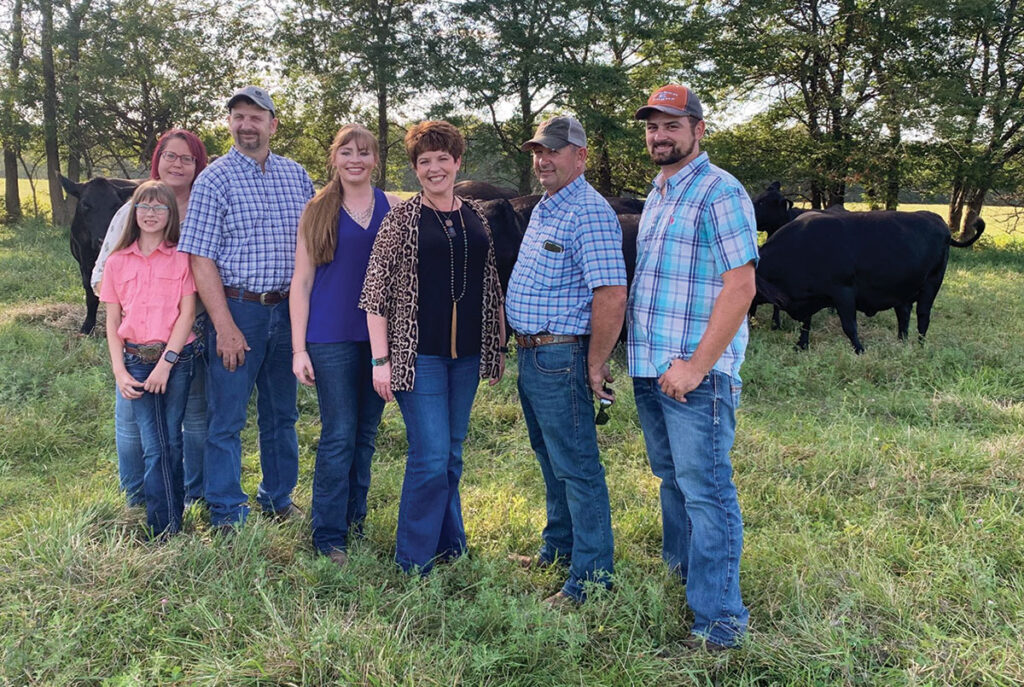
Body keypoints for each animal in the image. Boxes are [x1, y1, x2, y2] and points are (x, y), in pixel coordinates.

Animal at [58, 176, 139, 333]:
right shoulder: (85, 263)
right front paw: (87, 326)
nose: (103, 240)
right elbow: (90, 294)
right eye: (85, 204)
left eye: (116, 205)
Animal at [753, 210, 983, 354]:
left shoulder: (843, 291)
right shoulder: (809, 295)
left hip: (931, 284)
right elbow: (806, 324)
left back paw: (920, 346)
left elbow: (849, 326)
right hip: (903, 292)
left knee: (923, 317)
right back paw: (901, 344)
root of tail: (937, 221)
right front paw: (801, 346)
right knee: (904, 317)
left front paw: (860, 350)